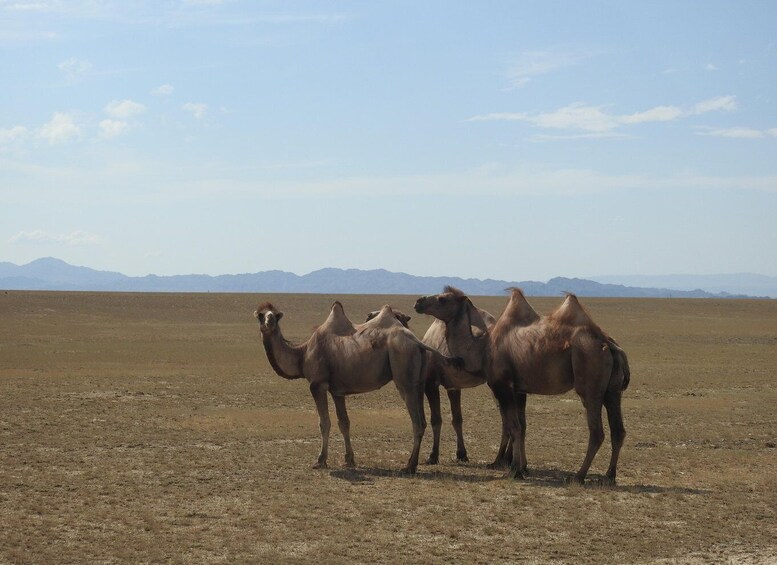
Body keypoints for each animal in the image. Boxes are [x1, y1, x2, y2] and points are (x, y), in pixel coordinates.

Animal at [255, 300, 460, 472]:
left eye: (276, 315)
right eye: (260, 315)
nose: (269, 322)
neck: (302, 354)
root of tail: (417, 341)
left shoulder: (317, 385)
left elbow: (324, 422)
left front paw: (320, 460)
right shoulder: (337, 391)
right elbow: (344, 422)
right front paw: (349, 460)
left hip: (405, 379)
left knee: (416, 422)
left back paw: (409, 467)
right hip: (419, 382)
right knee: (423, 419)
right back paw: (415, 463)